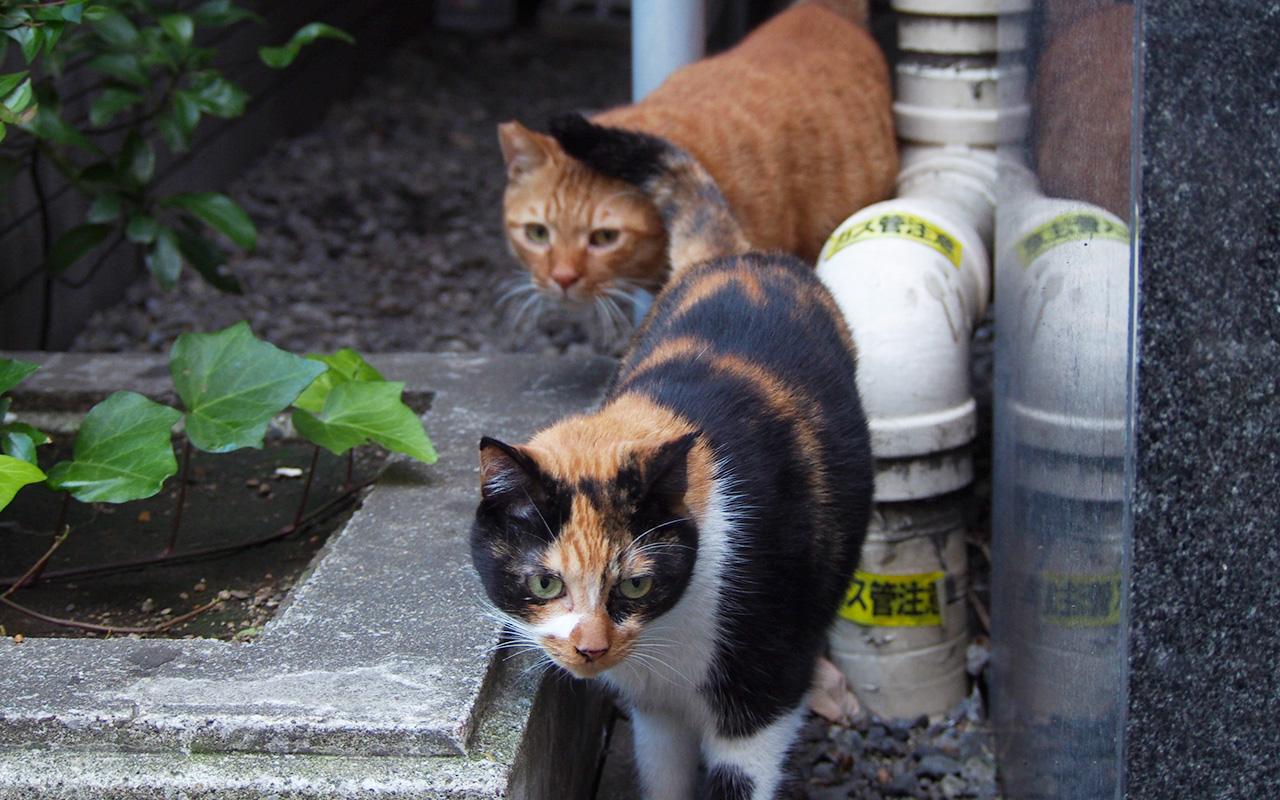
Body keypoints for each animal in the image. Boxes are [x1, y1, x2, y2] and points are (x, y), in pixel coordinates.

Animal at [473, 115, 880, 793]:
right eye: (544, 581)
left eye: (636, 586)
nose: (590, 647)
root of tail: (733, 255)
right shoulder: (654, 711)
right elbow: (663, 776)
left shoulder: (762, 695)